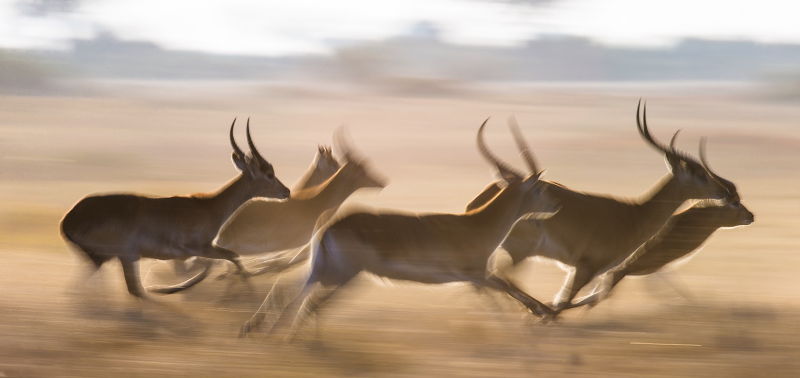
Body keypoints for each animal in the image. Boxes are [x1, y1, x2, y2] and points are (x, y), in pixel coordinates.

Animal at [61, 118, 290, 298]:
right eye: (269, 173)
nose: (286, 191)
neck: (209, 207)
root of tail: (68, 219)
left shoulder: (186, 255)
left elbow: (216, 262)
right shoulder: (194, 249)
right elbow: (230, 257)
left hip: (105, 259)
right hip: (125, 255)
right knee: (132, 290)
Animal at [241, 119, 560, 340]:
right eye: (540, 188)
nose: (556, 205)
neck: (478, 225)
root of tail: (329, 225)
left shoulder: (477, 279)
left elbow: (506, 291)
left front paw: (542, 316)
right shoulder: (476, 275)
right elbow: (510, 288)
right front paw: (543, 315)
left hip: (326, 269)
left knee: (291, 291)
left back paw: (260, 329)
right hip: (341, 274)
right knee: (303, 299)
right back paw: (276, 335)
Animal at [466, 102, 740, 314]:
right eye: (699, 173)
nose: (725, 191)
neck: (634, 214)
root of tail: (480, 202)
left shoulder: (592, 272)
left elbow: (582, 300)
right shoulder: (585, 268)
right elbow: (565, 303)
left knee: (490, 280)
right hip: (519, 252)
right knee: (497, 279)